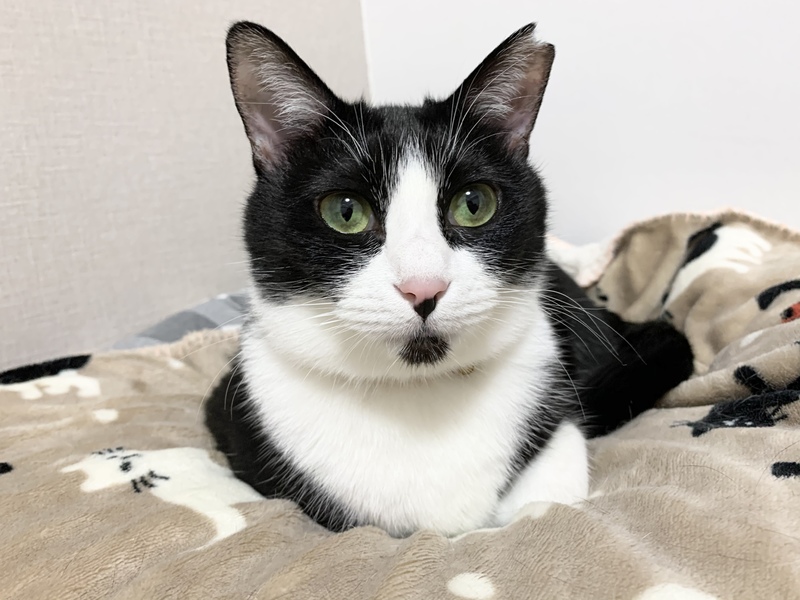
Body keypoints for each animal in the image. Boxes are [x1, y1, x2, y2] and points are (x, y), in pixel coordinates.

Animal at [205, 21, 694, 538]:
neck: (419, 395)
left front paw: (539, 514)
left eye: (474, 203)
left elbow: (558, 488)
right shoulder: (231, 413)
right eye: (345, 211)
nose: (424, 287)